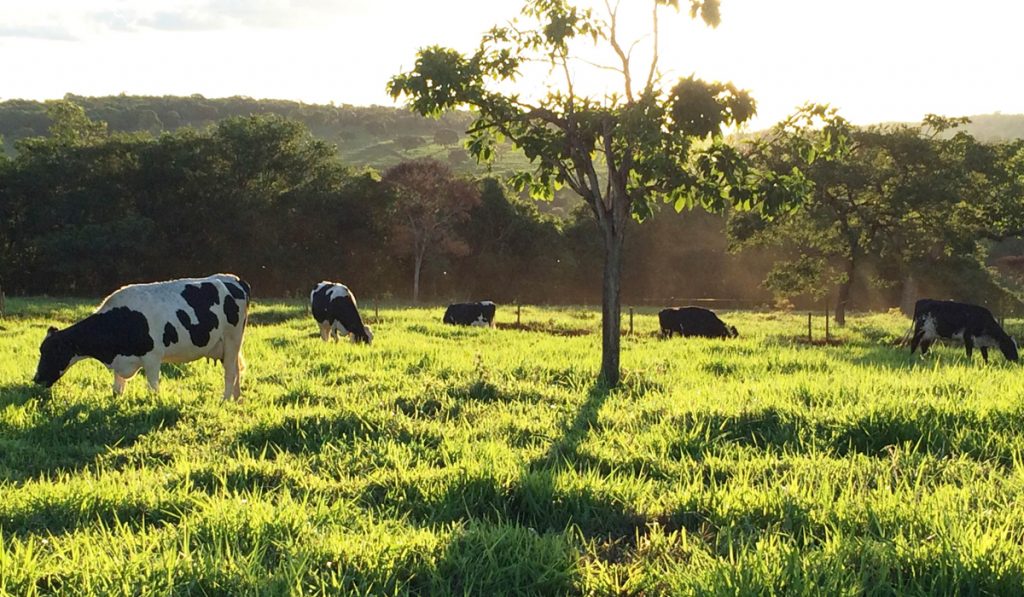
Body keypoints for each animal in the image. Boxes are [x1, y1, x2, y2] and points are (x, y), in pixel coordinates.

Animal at [33, 272, 249, 399]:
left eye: (53, 352)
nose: (36, 379)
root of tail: (235, 279)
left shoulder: (152, 358)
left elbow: (153, 387)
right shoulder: (121, 361)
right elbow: (117, 389)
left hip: (232, 339)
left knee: (230, 372)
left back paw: (225, 400)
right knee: (237, 370)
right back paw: (236, 400)